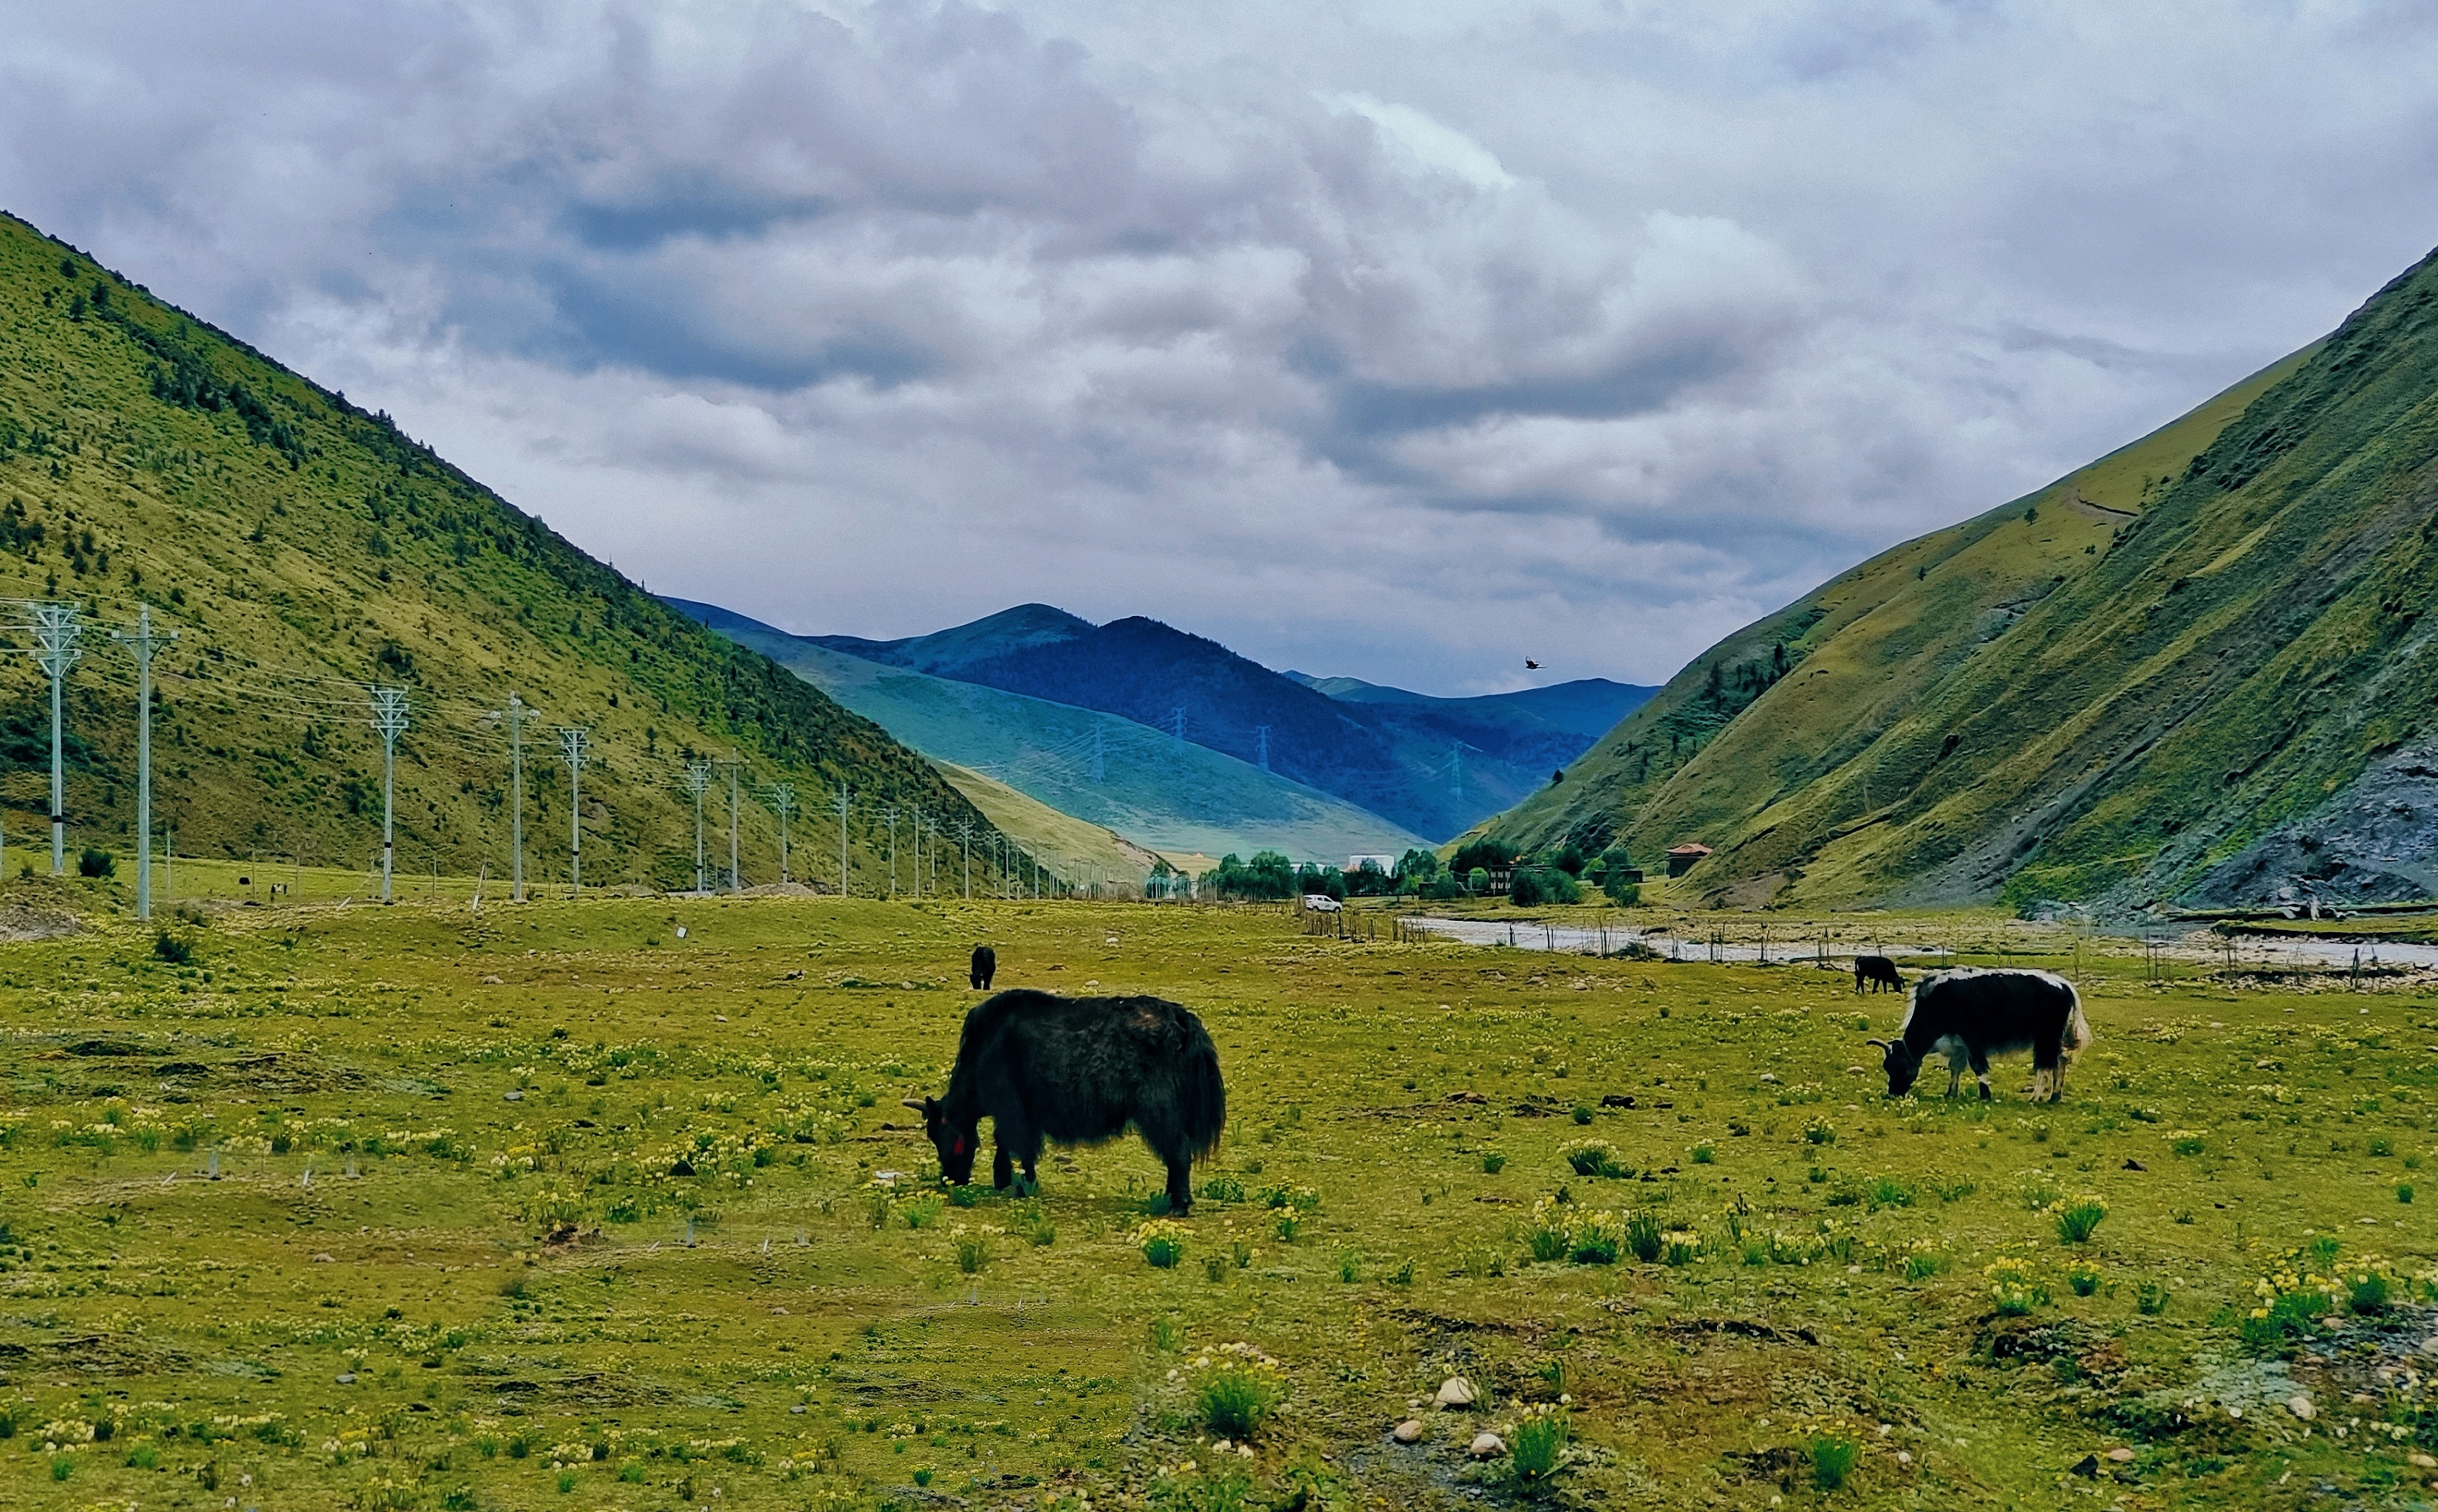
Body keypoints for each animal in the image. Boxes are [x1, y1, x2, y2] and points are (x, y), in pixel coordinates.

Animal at [905, 990, 1226, 1212]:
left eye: (939, 1133)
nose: (950, 1179)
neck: (984, 1049)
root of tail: (1182, 1020)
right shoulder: (1028, 1113)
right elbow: (1023, 1150)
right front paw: (1023, 1182)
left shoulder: (1011, 1108)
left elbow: (1009, 1144)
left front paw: (1010, 1184)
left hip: (1158, 1109)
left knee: (1178, 1151)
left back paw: (1178, 1205)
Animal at [1866, 968, 2091, 1103]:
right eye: (1887, 1067)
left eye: (1897, 1066)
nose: (1892, 1093)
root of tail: (2065, 985)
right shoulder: (1958, 1045)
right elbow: (1955, 1068)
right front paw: (1951, 1094)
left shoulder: (1973, 1041)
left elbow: (1978, 1068)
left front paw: (1985, 1096)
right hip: (2055, 1040)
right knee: (2060, 1063)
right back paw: (2054, 1097)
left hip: (2046, 1039)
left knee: (2045, 1067)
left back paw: (2034, 1098)